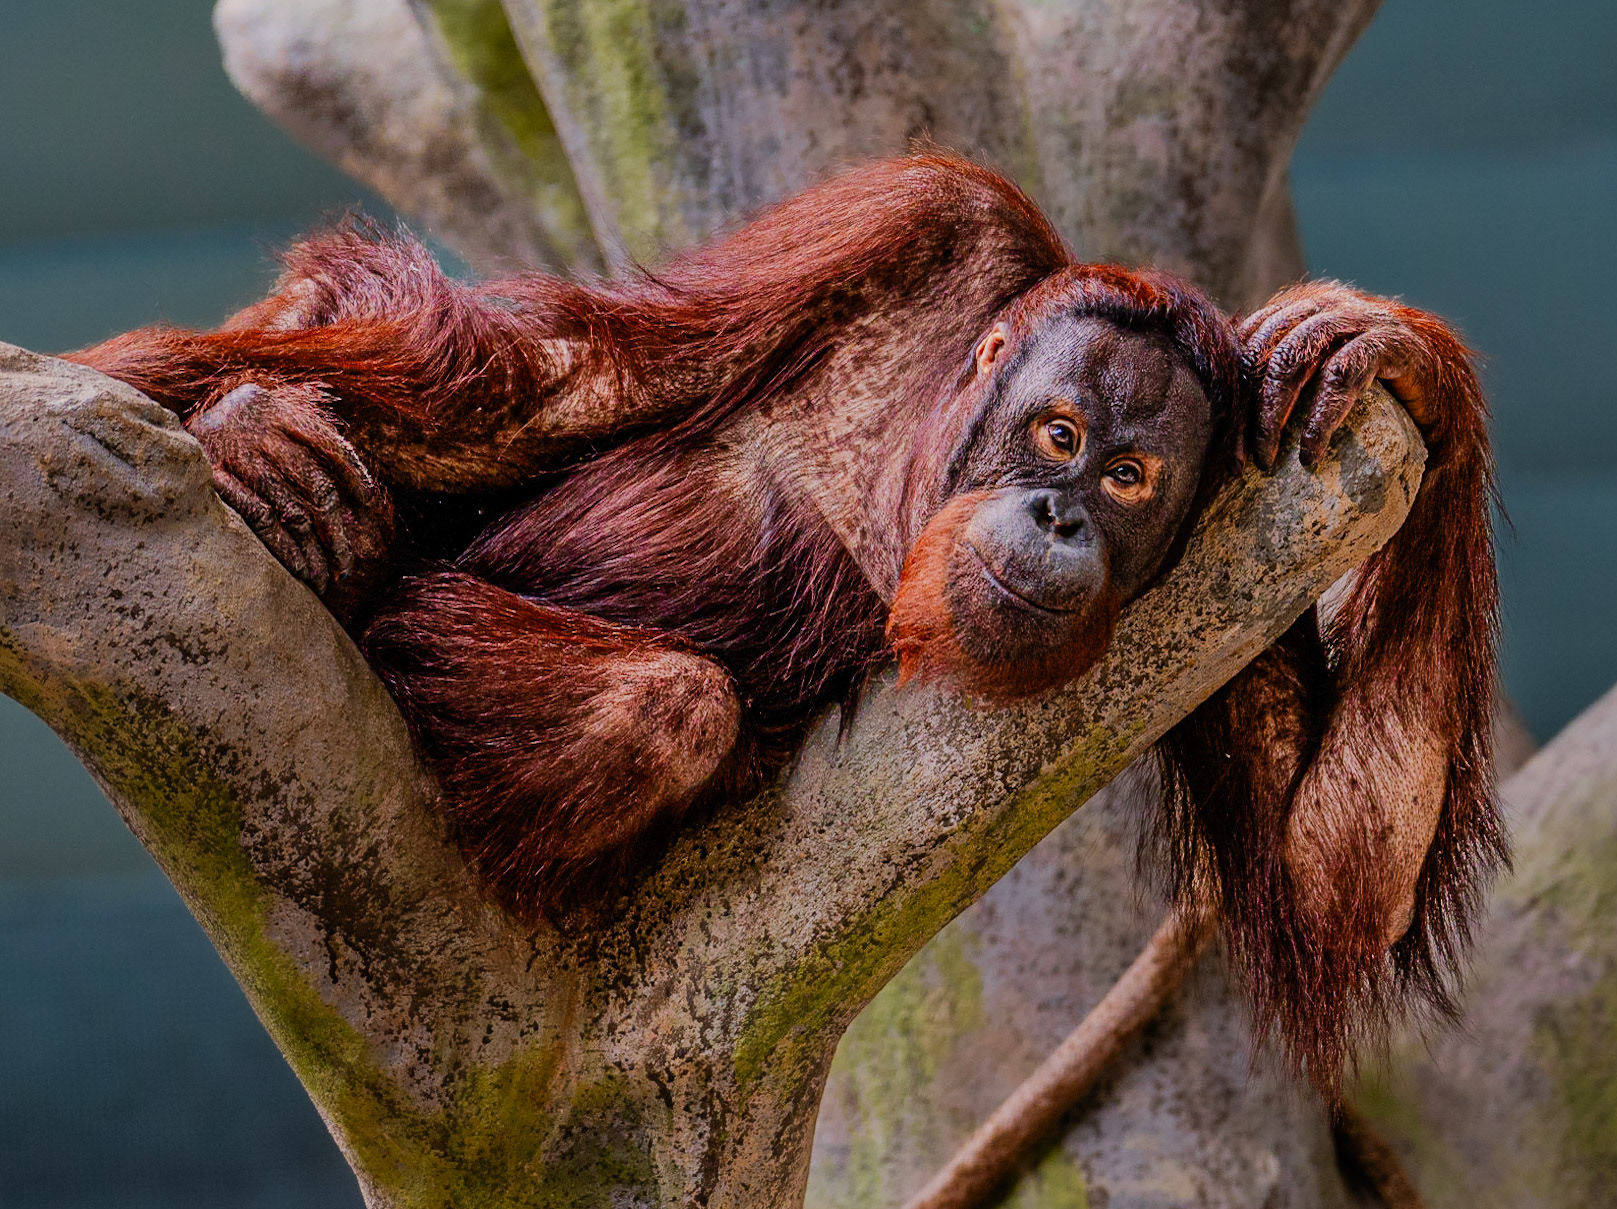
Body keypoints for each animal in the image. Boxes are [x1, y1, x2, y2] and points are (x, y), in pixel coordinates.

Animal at [67, 152, 1502, 1089]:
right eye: (1059, 436)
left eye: (1130, 477)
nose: (1060, 520)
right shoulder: (924, 213)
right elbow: (561, 381)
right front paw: (233, 428)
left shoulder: (1230, 545)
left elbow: (1332, 884)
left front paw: (1395, 351)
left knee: (667, 706)